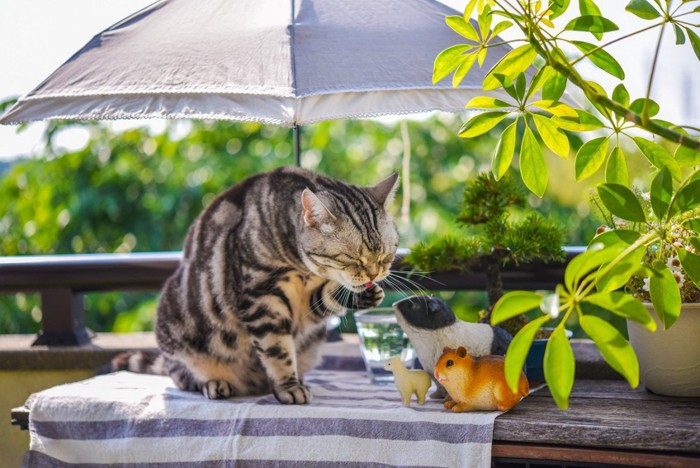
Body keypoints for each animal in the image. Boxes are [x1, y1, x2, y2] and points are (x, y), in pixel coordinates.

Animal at [114, 166, 400, 404]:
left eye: (386, 256)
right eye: (352, 258)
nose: (374, 273)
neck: (302, 269)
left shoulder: (306, 301)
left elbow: (327, 298)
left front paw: (362, 296)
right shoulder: (262, 299)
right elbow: (277, 350)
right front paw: (288, 387)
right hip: (176, 328)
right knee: (183, 375)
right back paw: (214, 382)